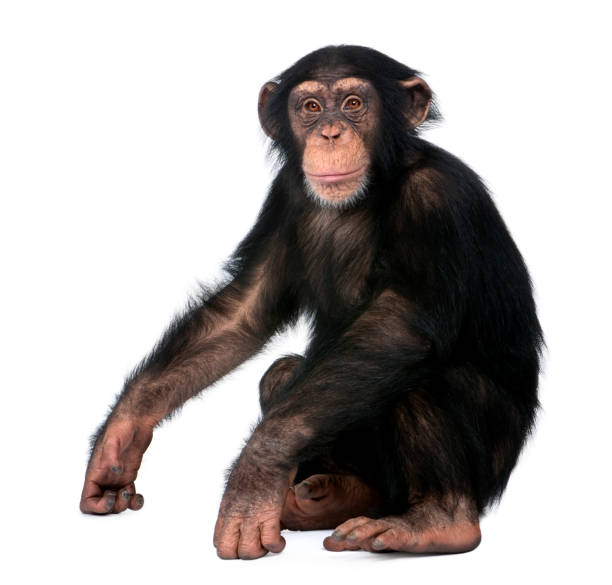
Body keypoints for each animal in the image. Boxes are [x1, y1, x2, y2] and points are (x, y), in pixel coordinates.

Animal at [79, 44, 544, 556]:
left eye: (354, 104)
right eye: (312, 107)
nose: (331, 131)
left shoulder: (437, 199)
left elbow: (401, 325)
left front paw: (254, 476)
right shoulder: (284, 194)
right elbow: (245, 310)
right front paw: (121, 438)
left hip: (492, 466)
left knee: (417, 371)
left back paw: (436, 522)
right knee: (283, 374)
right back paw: (332, 499)